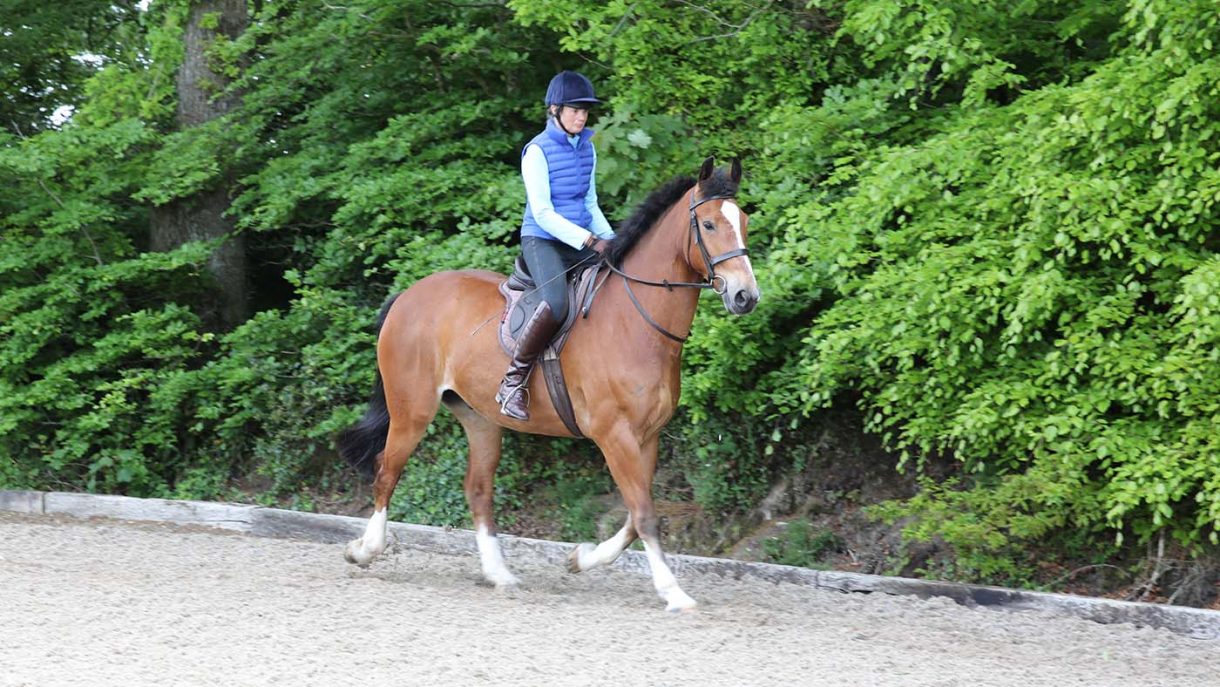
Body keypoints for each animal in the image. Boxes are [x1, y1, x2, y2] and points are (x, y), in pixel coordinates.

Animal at [337, 156, 760, 611]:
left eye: (744, 222)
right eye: (710, 225)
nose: (745, 296)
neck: (634, 322)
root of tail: (407, 295)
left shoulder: (647, 438)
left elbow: (636, 516)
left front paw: (582, 558)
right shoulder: (616, 436)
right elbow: (644, 514)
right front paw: (674, 593)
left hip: (480, 418)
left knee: (478, 489)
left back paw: (499, 573)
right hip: (412, 410)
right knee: (387, 470)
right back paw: (365, 550)